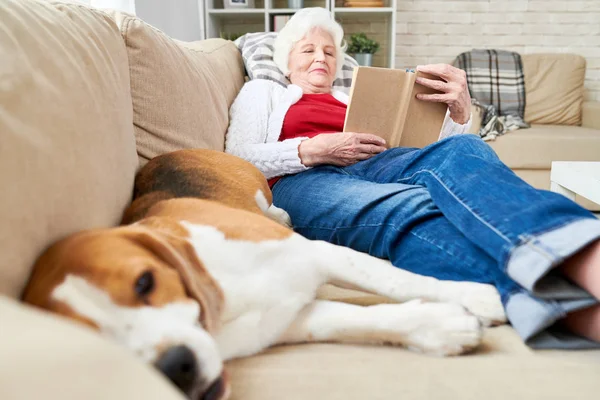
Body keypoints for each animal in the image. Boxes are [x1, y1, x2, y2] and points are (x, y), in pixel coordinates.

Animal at [21, 149, 504, 400]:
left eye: (145, 282)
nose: (175, 367)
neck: (223, 299)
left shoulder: (318, 254)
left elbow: (397, 280)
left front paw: (481, 297)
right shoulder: (288, 319)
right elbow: (355, 319)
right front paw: (438, 326)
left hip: (260, 196)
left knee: (278, 209)